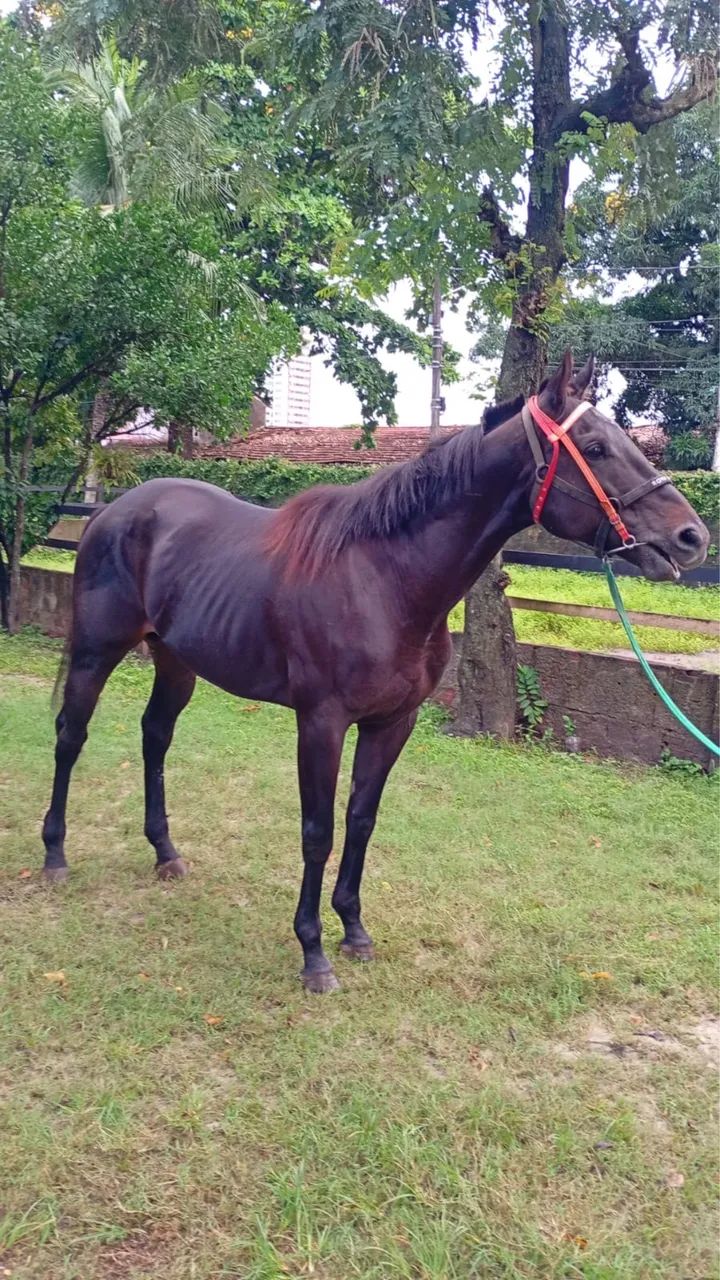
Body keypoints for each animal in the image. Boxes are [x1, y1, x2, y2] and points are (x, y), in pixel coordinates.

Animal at [41, 352, 709, 992]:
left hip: (176, 661)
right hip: (97, 652)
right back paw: (55, 855)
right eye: (595, 448)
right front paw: (312, 953)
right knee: (71, 736)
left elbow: (361, 821)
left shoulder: (392, 722)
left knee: (155, 736)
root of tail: (113, 511)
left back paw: (165, 853)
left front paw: (354, 929)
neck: (386, 578)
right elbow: (317, 830)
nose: (692, 537)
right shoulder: (321, 723)